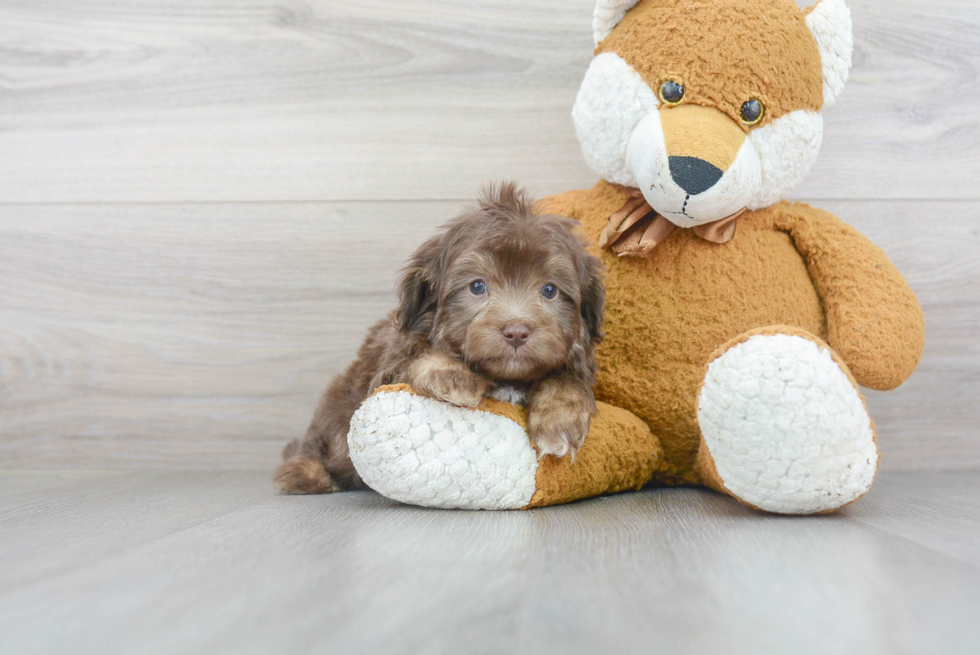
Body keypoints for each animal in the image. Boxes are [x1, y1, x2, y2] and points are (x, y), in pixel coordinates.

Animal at [276, 182, 604, 494]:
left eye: (549, 290)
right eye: (477, 286)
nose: (516, 331)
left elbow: (567, 379)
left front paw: (559, 419)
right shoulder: (387, 369)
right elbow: (420, 356)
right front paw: (451, 376)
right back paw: (305, 473)